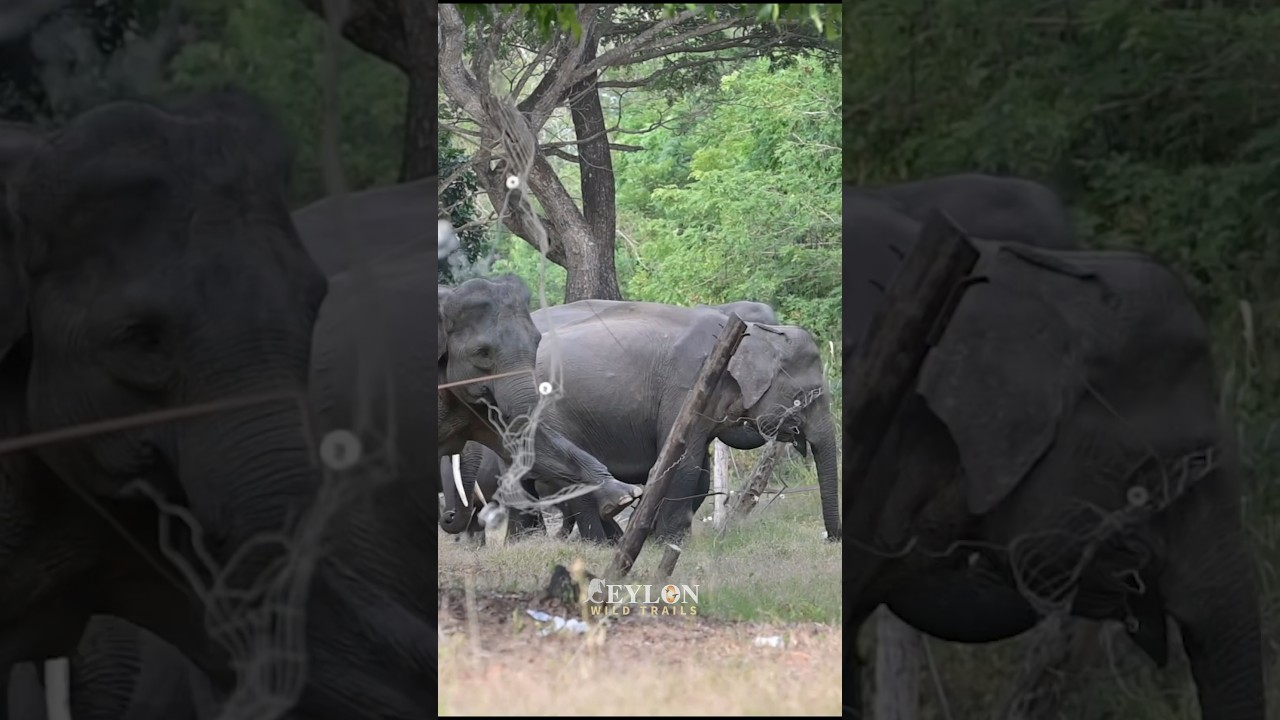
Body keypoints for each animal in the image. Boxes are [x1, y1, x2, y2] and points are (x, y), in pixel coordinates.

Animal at [442, 300, 840, 542]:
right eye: (809, 395)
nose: (830, 539)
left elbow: (698, 469)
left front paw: (657, 539)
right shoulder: (689, 383)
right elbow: (683, 462)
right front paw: (668, 543)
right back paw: (597, 544)